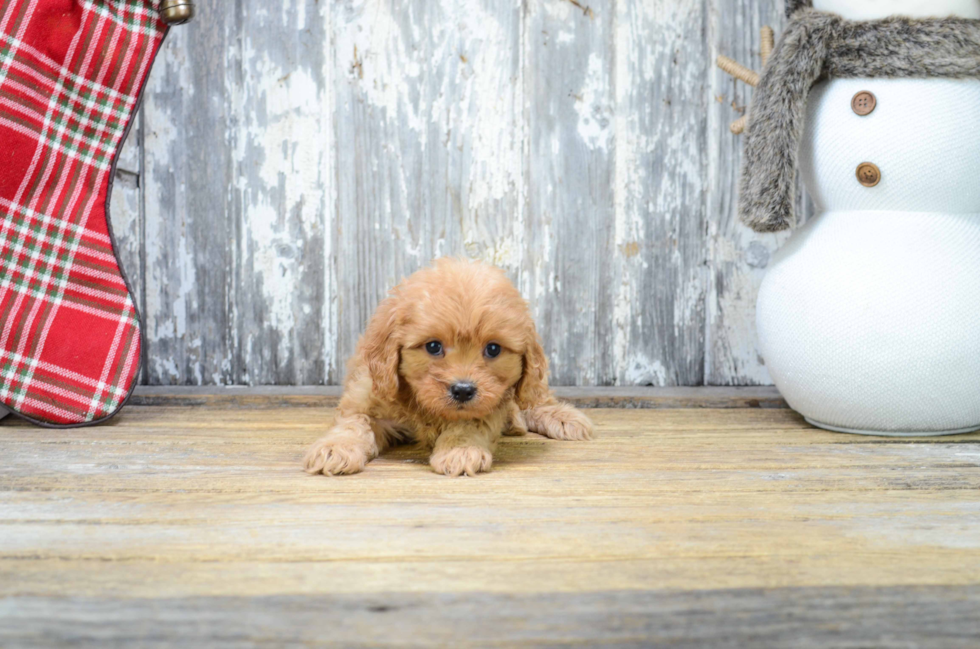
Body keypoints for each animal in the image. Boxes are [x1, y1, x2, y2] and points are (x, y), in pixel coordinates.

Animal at [302, 256, 592, 476]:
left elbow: (469, 424)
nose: (463, 390)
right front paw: (335, 448)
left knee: (535, 399)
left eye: (493, 349)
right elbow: (354, 423)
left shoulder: (487, 405)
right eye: (433, 346)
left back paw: (563, 418)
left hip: (531, 386)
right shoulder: (366, 393)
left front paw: (460, 451)